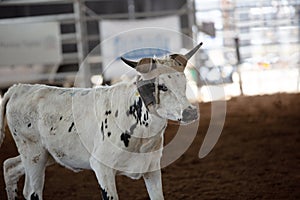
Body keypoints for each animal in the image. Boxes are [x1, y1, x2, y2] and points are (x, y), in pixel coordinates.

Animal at [0, 42, 203, 200]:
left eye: (184, 83)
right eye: (162, 86)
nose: (190, 112)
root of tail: (19, 88)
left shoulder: (152, 169)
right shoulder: (102, 169)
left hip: (46, 155)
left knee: (9, 166)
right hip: (33, 154)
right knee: (31, 191)